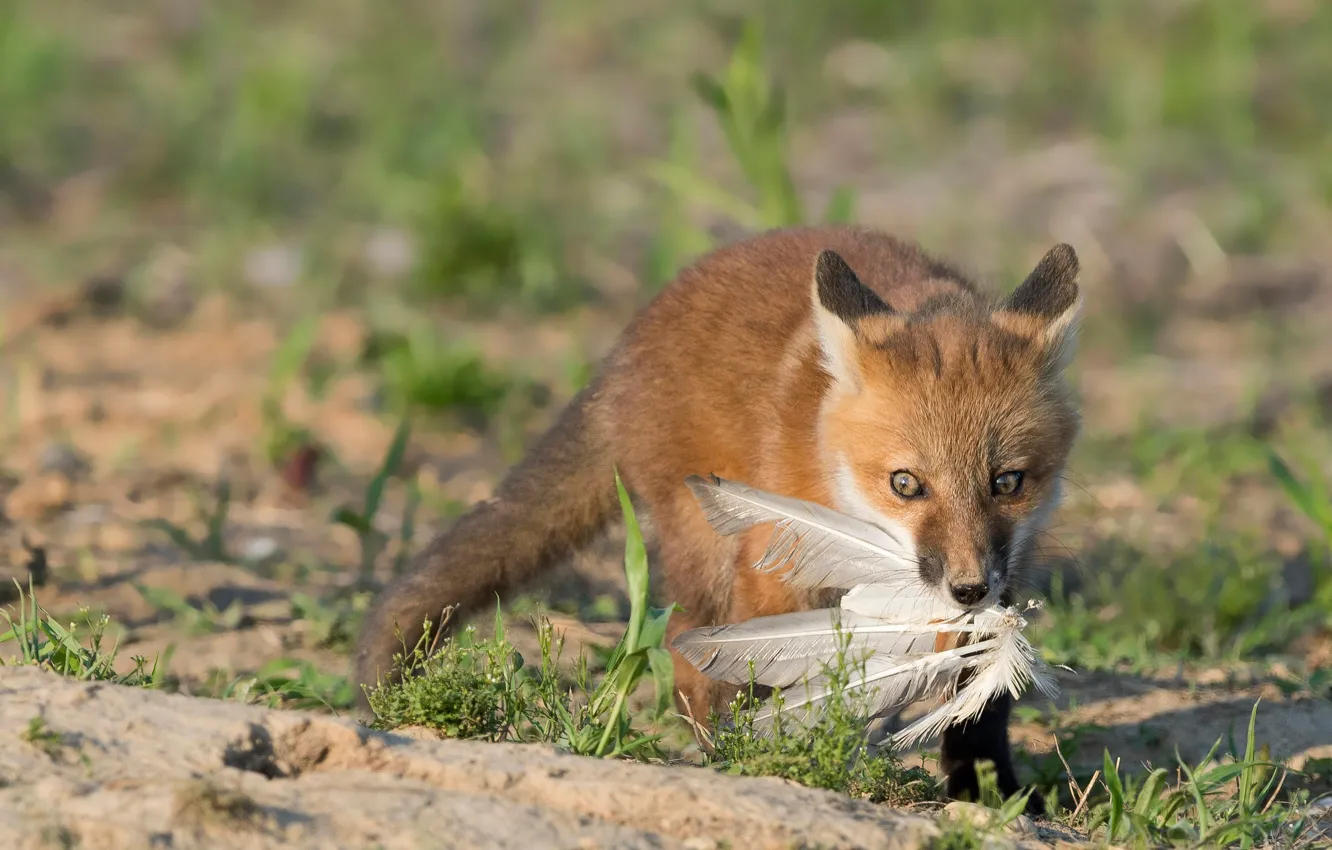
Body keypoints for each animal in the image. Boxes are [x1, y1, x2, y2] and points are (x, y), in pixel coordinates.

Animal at [352, 225, 1082, 814]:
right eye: (906, 484)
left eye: (1007, 482)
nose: (967, 587)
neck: (830, 463)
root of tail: (628, 345)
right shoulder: (777, 562)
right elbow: (757, 672)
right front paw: (773, 761)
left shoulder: (1004, 578)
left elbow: (982, 702)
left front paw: (990, 795)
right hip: (704, 550)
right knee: (685, 658)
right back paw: (720, 754)